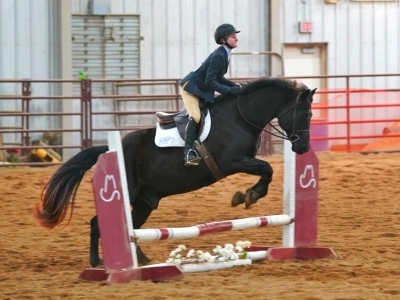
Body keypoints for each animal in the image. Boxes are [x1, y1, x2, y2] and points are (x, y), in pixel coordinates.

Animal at [34, 78, 316, 268]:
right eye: (304, 113)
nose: (303, 148)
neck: (240, 115)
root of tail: (110, 148)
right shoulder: (233, 162)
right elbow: (267, 169)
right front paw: (248, 196)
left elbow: (267, 170)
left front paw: (246, 196)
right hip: (130, 192)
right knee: (98, 223)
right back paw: (99, 262)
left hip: (145, 202)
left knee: (133, 228)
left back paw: (143, 260)